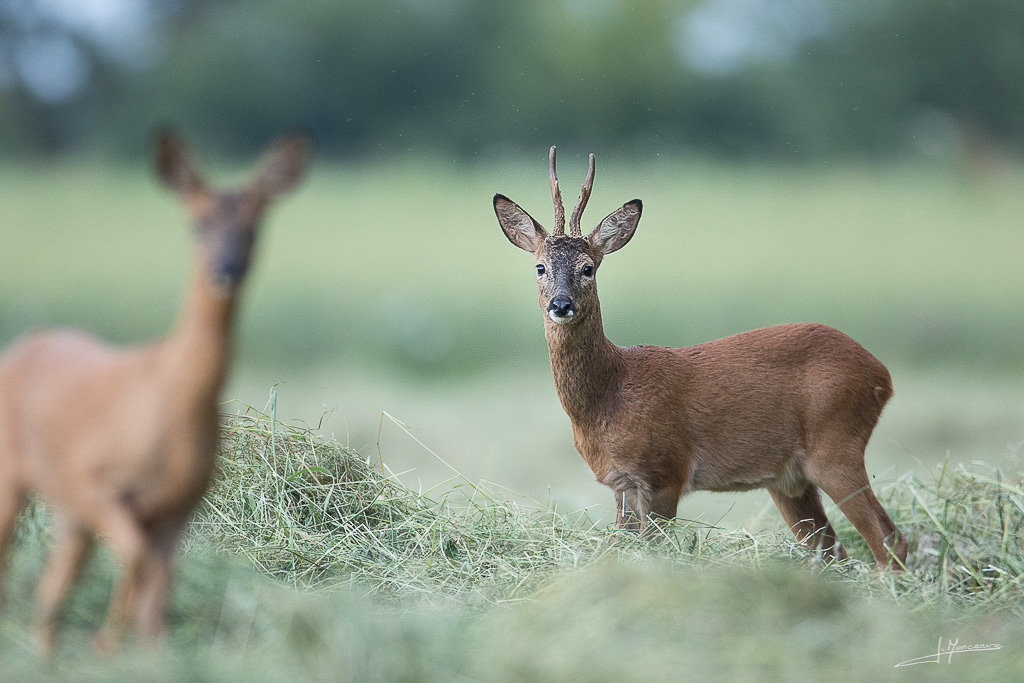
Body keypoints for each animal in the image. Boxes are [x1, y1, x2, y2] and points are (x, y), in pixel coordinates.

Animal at [0, 131, 307, 655]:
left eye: (255, 226)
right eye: (197, 223)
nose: (226, 270)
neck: (168, 400)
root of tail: (24, 344)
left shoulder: (176, 508)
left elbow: (156, 601)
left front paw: (134, 651)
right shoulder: (99, 483)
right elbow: (137, 563)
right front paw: (106, 645)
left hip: (69, 511)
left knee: (53, 589)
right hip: (17, 478)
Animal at [493, 148, 905, 573]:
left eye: (588, 268)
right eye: (540, 267)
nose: (561, 305)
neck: (609, 394)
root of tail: (882, 373)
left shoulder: (664, 471)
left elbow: (654, 547)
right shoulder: (620, 483)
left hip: (836, 444)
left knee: (888, 537)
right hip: (789, 478)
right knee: (832, 550)